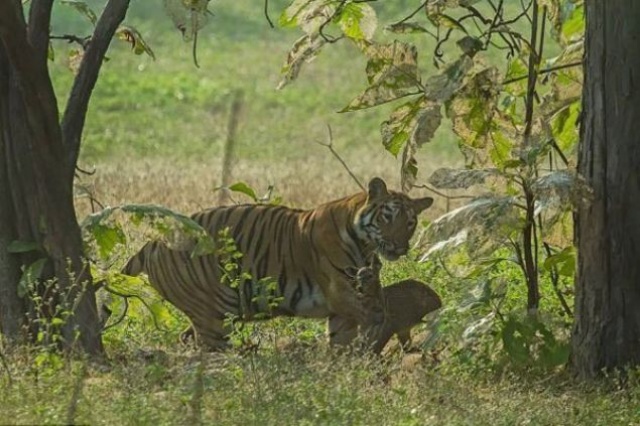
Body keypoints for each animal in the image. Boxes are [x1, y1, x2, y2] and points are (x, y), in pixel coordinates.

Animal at [119, 176, 432, 350]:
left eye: (411, 223)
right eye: (387, 217)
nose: (399, 247)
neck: (364, 243)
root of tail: (153, 242)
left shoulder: (343, 309)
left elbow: (343, 344)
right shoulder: (340, 293)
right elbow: (373, 319)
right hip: (215, 317)